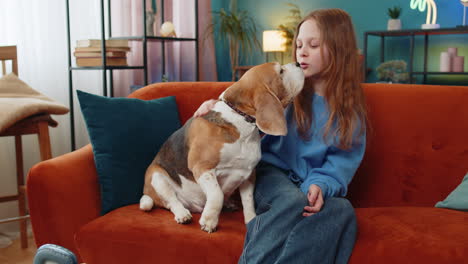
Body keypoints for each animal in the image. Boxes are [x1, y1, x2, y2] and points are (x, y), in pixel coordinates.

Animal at [140, 62, 304, 233]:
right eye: (280, 71)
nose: (298, 63)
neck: (240, 120)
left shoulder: (249, 174)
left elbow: (248, 201)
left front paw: (250, 220)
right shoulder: (202, 167)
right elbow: (216, 194)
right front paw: (209, 221)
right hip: (156, 177)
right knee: (171, 201)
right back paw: (182, 214)